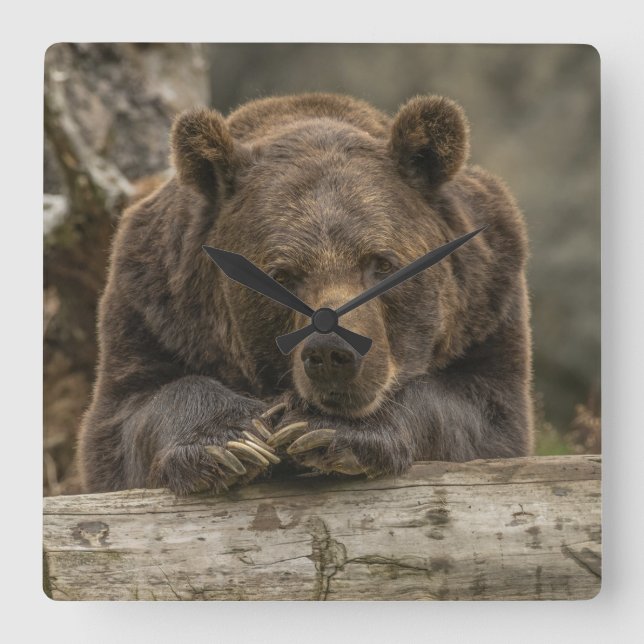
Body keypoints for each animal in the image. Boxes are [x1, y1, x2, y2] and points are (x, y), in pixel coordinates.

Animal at [78, 92, 533, 495]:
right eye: (279, 275)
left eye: (382, 263)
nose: (332, 352)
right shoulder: (153, 308)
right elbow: (128, 418)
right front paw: (233, 441)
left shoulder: (488, 303)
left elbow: (482, 415)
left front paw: (325, 430)